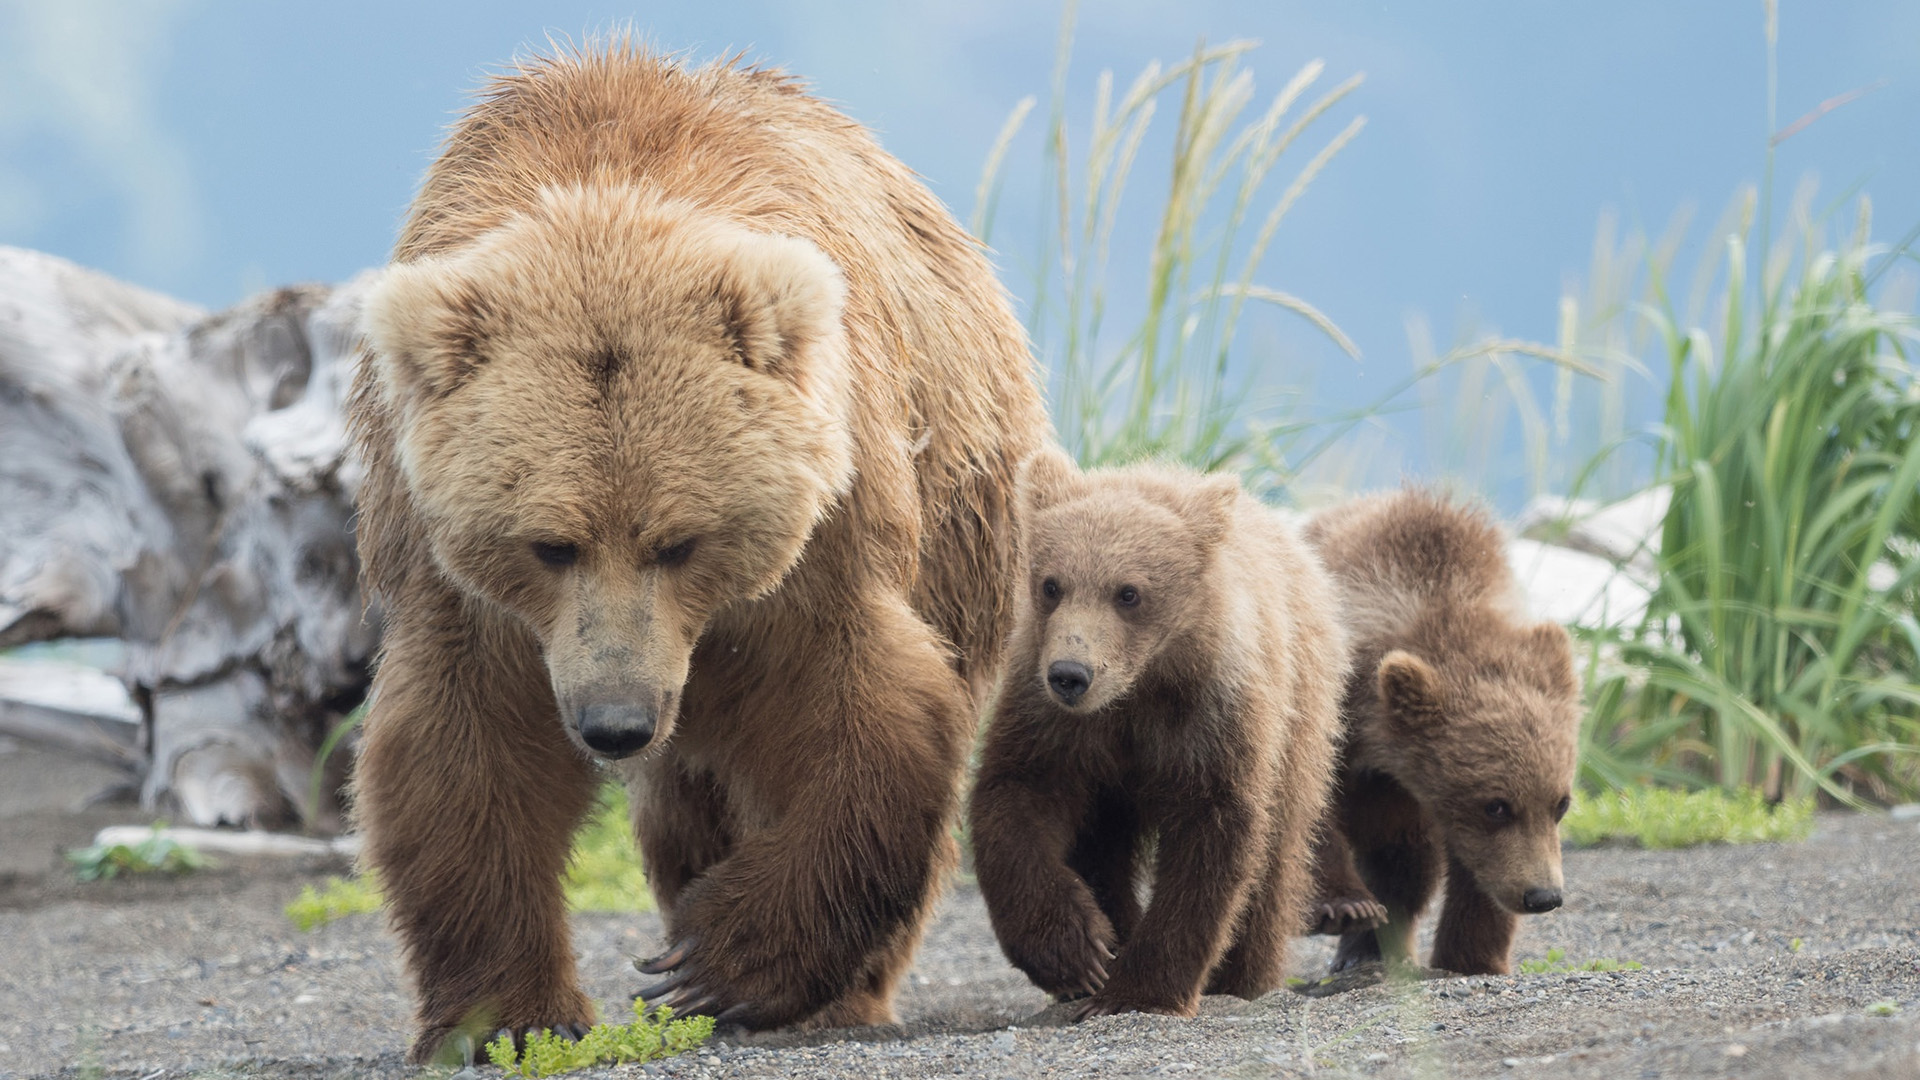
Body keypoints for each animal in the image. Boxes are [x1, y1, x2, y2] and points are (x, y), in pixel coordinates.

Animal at [345, 44, 1036, 1060]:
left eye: (679, 541)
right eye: (550, 544)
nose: (615, 723)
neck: (611, 184)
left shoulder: (823, 526)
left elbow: (858, 712)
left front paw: (718, 961)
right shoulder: (457, 576)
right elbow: (465, 749)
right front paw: (508, 1014)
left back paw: (839, 992)